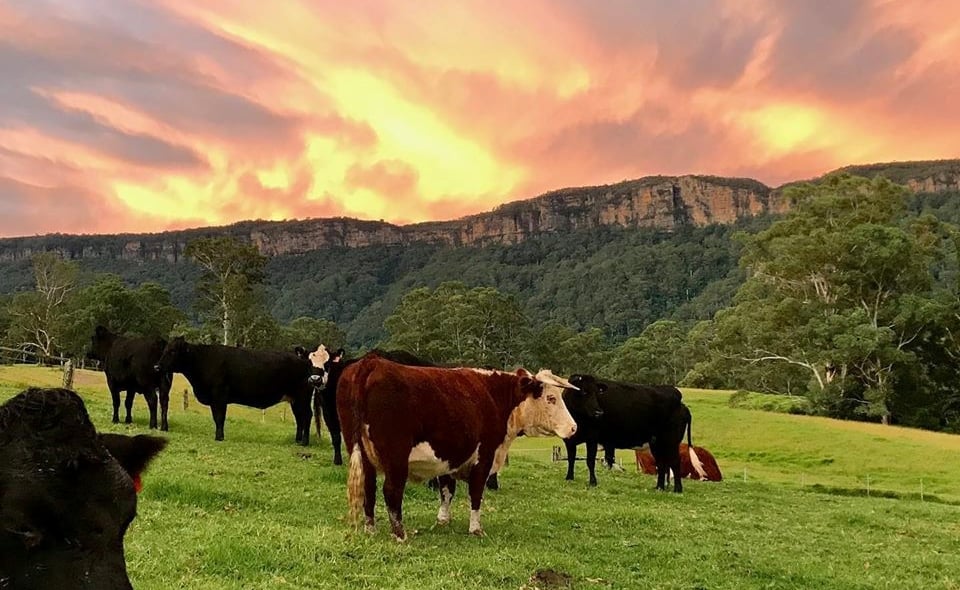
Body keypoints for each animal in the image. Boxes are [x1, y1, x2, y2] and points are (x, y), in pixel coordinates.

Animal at [156, 338, 320, 444]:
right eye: (164, 350)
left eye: (173, 351)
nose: (157, 367)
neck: (201, 360)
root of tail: (305, 361)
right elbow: (216, 417)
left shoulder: (219, 395)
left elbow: (219, 417)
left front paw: (219, 437)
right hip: (294, 399)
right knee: (299, 418)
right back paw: (297, 440)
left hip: (302, 397)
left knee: (307, 416)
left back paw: (304, 442)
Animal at [338, 354, 576, 544]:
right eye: (551, 398)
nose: (573, 427)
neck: (495, 396)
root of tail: (371, 362)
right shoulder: (484, 457)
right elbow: (476, 493)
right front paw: (476, 528)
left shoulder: (449, 456)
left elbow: (447, 490)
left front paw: (443, 520)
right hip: (396, 458)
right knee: (391, 491)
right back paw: (399, 534)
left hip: (362, 454)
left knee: (368, 488)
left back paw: (370, 529)